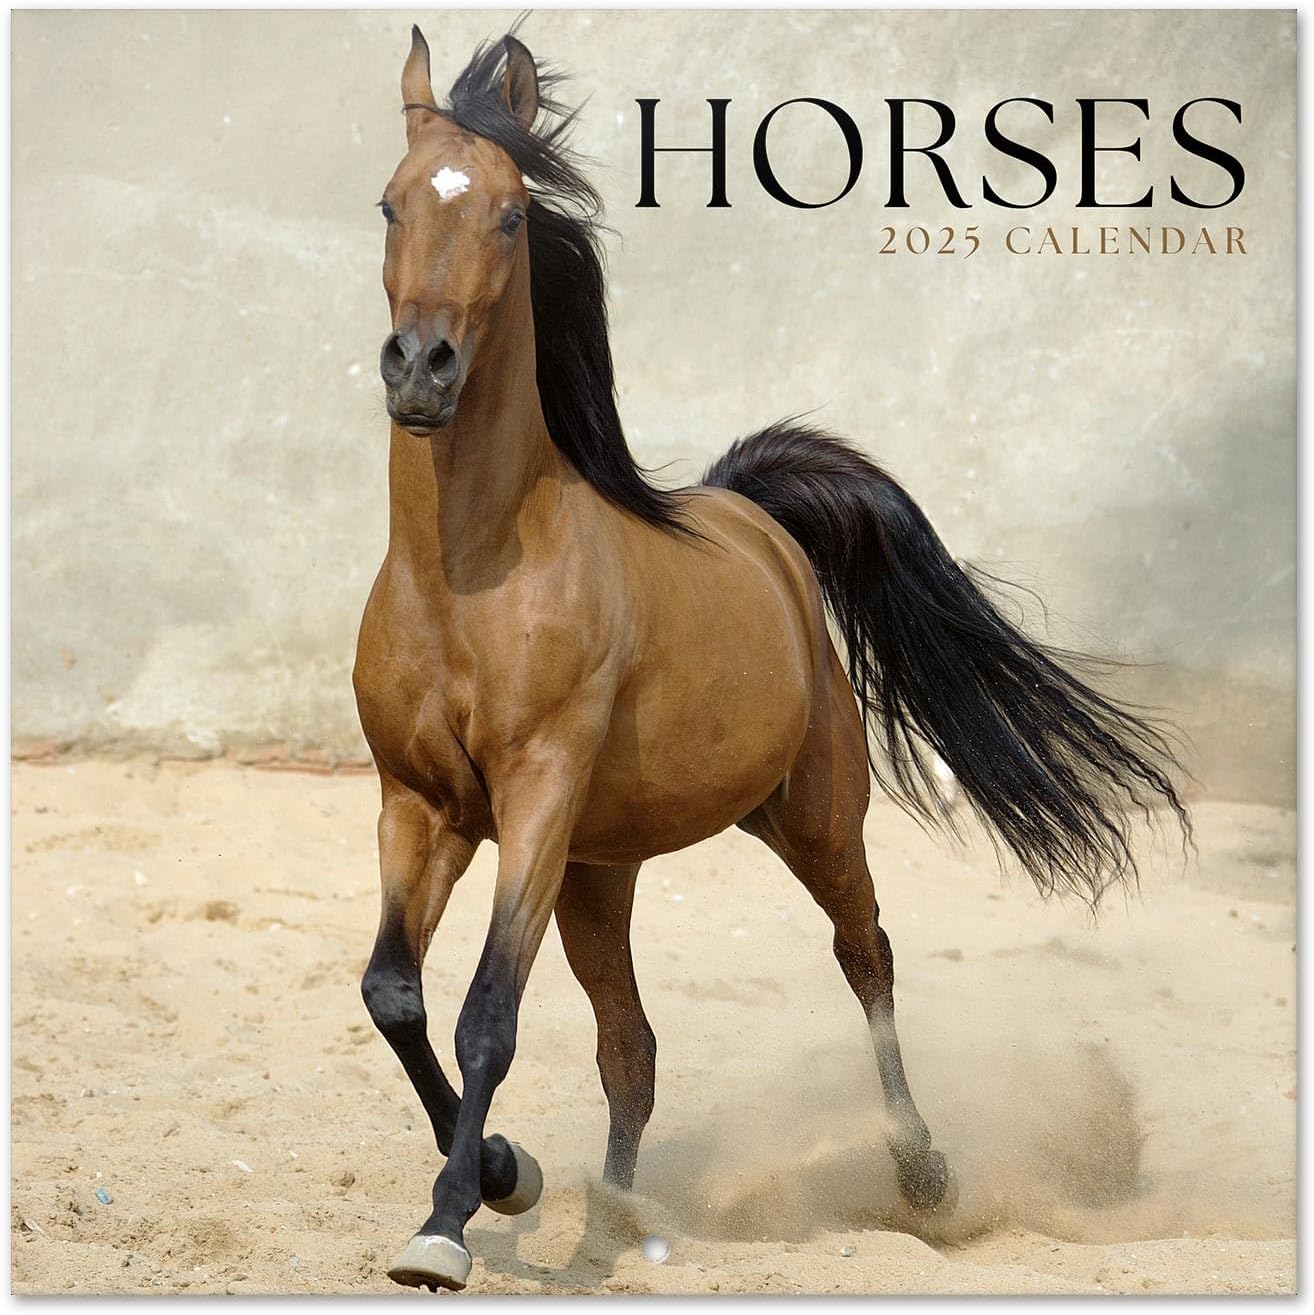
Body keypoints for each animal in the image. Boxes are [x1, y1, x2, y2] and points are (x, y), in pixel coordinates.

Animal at [351, 26, 1190, 1292]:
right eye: (390, 203)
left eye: (508, 214)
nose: (422, 370)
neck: (470, 582)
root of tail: (754, 516)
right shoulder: (420, 803)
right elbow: (394, 993)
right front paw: (506, 1173)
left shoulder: (534, 797)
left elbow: (487, 1009)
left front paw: (449, 1223)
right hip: (603, 867)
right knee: (633, 1046)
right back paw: (610, 1217)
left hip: (814, 813)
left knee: (866, 955)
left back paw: (924, 1175)